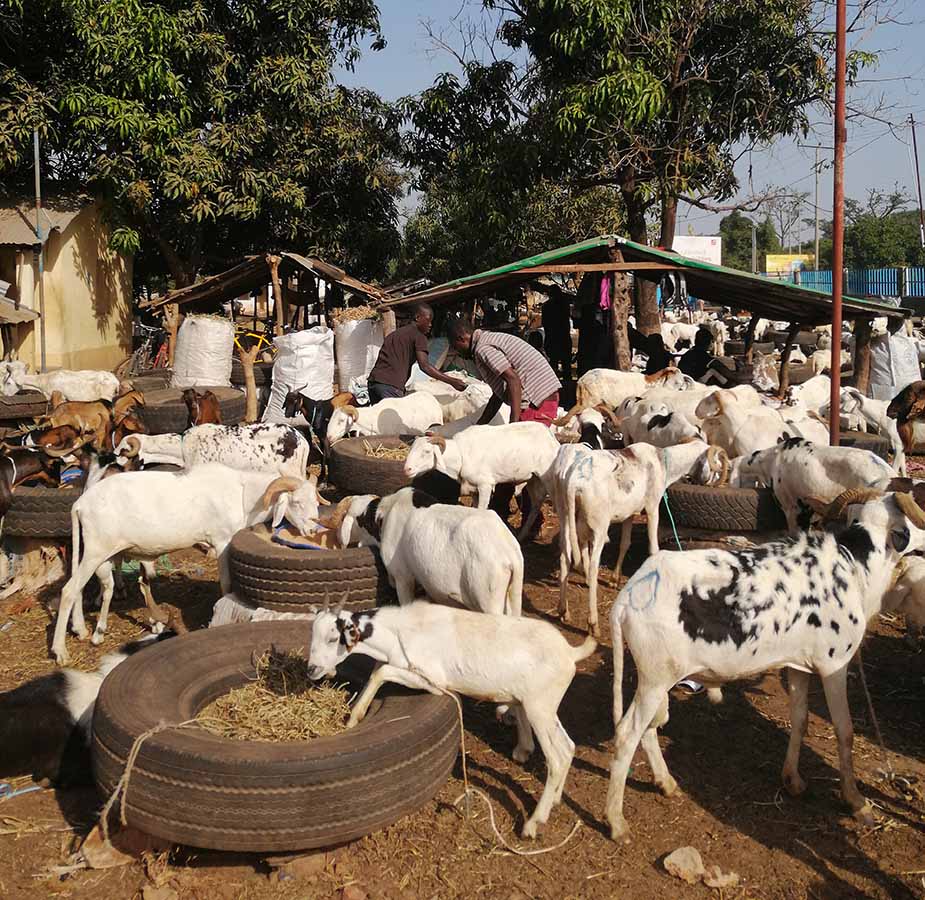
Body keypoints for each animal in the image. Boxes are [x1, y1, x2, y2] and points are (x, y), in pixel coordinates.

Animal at [52, 468, 324, 664]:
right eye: (297, 502)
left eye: (315, 501)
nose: (313, 530)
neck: (241, 493)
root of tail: (80, 504)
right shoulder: (222, 542)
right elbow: (226, 585)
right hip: (96, 550)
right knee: (68, 591)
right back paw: (60, 651)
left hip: (96, 552)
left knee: (85, 589)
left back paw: (85, 630)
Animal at [604, 488, 925, 840]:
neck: (853, 566)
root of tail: (627, 597)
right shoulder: (834, 665)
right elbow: (845, 732)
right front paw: (856, 802)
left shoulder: (799, 666)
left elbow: (799, 720)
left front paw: (793, 781)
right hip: (656, 678)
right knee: (627, 734)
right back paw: (616, 822)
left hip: (655, 680)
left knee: (647, 730)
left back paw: (665, 783)